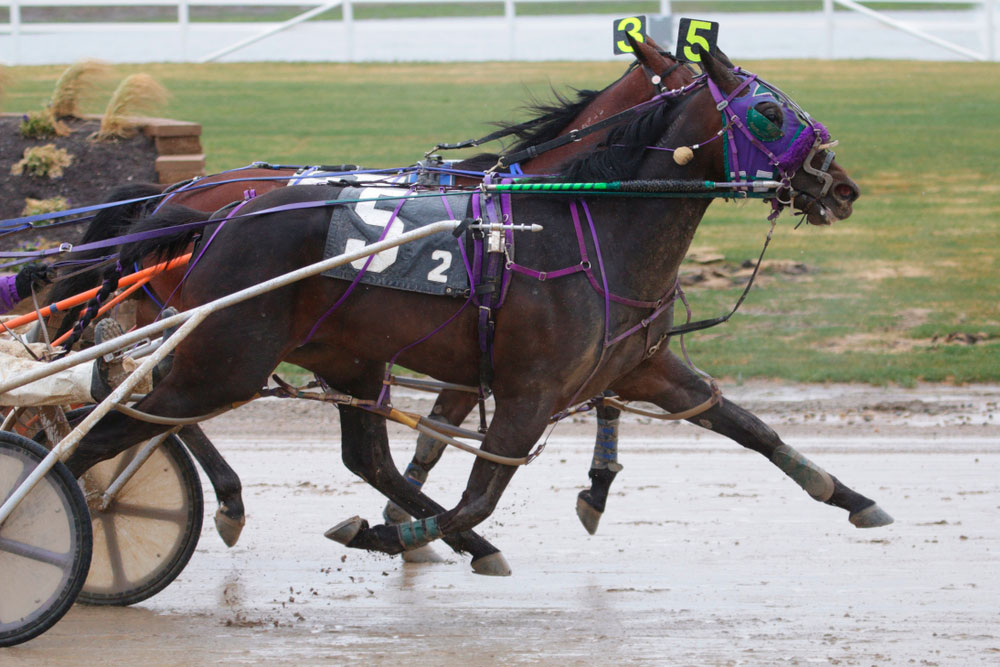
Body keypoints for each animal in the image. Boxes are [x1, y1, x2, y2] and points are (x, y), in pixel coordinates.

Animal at [62, 47, 892, 576]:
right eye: (770, 111)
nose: (842, 186)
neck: (581, 221)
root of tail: (193, 209)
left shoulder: (642, 362)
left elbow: (747, 425)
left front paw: (853, 497)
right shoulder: (526, 390)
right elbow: (478, 494)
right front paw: (392, 534)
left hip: (343, 358)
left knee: (354, 453)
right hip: (226, 358)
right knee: (117, 420)